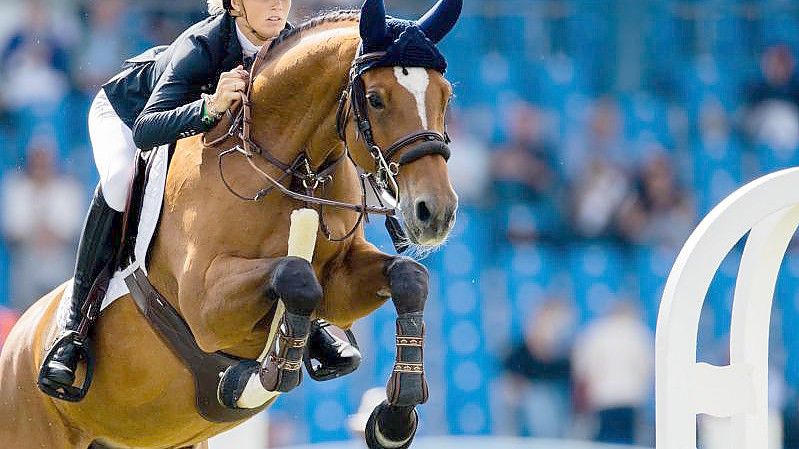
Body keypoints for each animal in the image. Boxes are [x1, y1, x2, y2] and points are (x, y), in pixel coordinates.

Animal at [0, 0, 462, 446]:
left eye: (446, 96)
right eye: (378, 99)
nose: (435, 212)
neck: (286, 166)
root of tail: (18, 340)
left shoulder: (341, 284)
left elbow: (408, 277)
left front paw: (394, 417)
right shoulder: (206, 304)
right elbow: (295, 276)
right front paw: (268, 370)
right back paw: (64, 358)